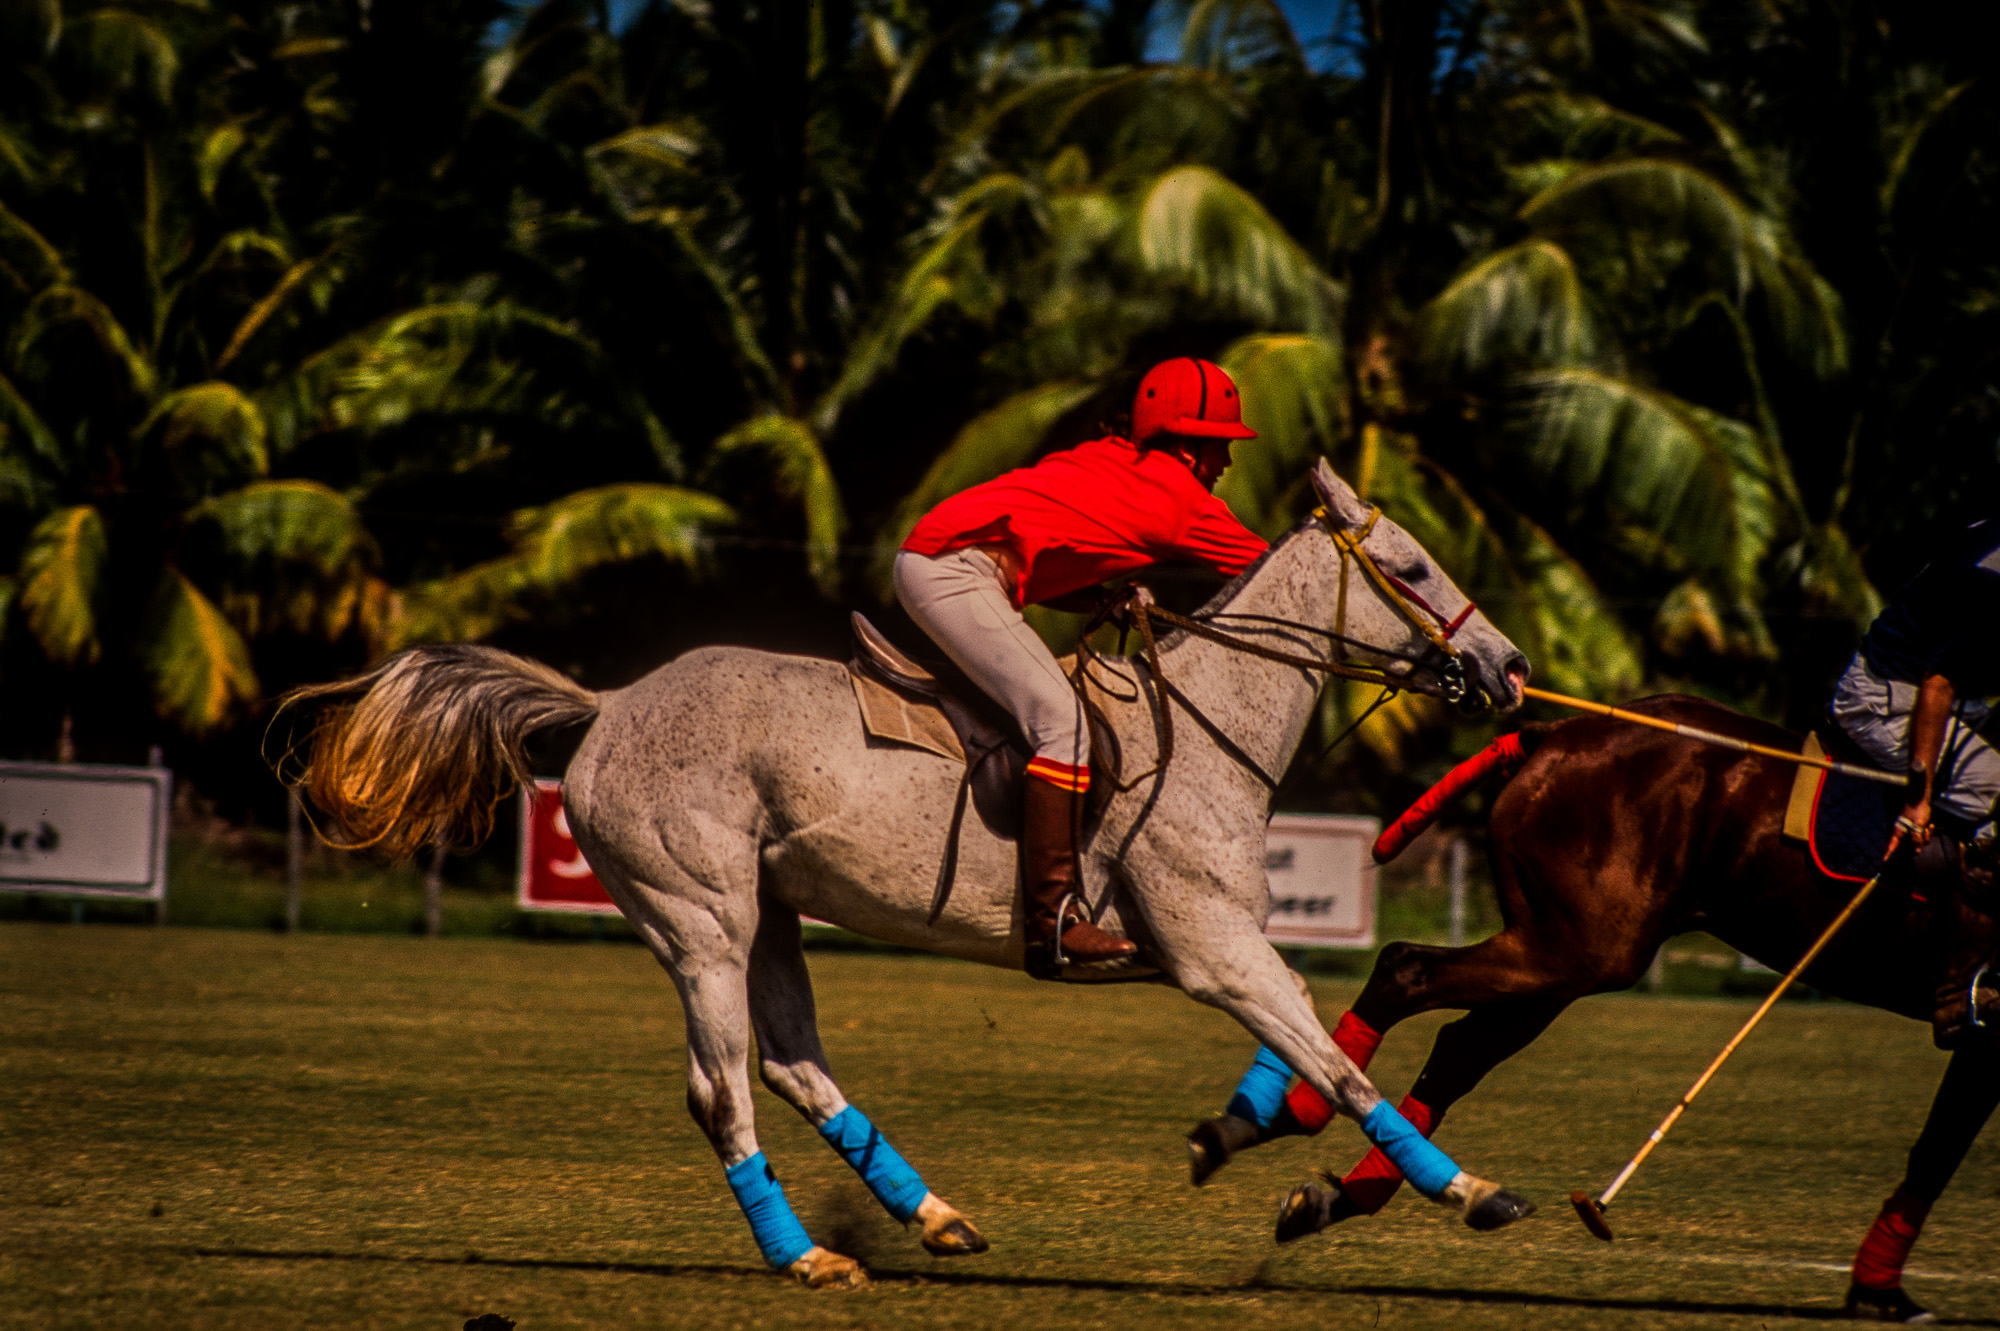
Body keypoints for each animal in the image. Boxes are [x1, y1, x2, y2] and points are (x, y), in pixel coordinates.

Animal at [290, 455, 1528, 1279]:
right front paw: (1468, 1189)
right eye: (1412, 565)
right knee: (721, 1084)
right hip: (696, 915)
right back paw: (804, 1256)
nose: (1507, 665)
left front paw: (1254, 1144)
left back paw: (932, 1217)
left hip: (770, 914)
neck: (1209, 723)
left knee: (792, 1061)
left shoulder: (1225, 945)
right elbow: (1342, 1066)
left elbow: (1315, 1043)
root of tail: (607, 703)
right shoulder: (1210, 947)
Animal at [1192, 695, 1992, 1319]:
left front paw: (1880, 1287)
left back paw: (1339, 1177)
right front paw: (1883, 1292)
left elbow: (1943, 1142)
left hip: (1561, 952)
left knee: (1455, 1044)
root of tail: (1553, 734)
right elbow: (1941, 1146)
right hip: (1582, 944)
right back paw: (1300, 1113)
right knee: (1404, 970)